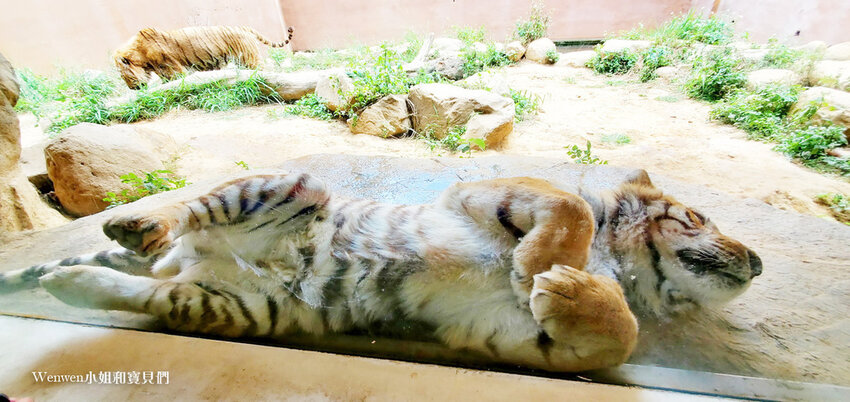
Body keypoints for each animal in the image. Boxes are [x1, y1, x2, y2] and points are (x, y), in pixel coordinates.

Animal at [0, 170, 762, 372]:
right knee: (186, 211)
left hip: (240, 307)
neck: (625, 271)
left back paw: (68, 283)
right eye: (697, 217)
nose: (757, 260)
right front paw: (547, 267)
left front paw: (564, 290)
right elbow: (570, 207)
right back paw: (134, 225)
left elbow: (617, 340)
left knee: (150, 289)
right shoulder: (483, 193)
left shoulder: (495, 332)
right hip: (283, 187)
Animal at [114, 25, 294, 90]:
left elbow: (176, 77)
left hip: (248, 58)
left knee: (262, 68)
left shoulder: (169, 65)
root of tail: (243, 27)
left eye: (123, 76)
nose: (132, 89)